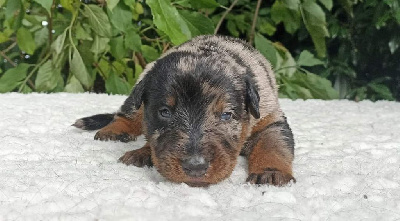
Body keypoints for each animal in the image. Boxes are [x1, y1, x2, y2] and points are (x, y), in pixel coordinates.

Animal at [73, 35, 296, 187]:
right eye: (165, 112)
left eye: (226, 114)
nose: (195, 167)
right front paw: (143, 152)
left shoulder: (269, 119)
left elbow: (273, 144)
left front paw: (271, 172)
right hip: (138, 92)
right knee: (128, 112)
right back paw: (114, 130)